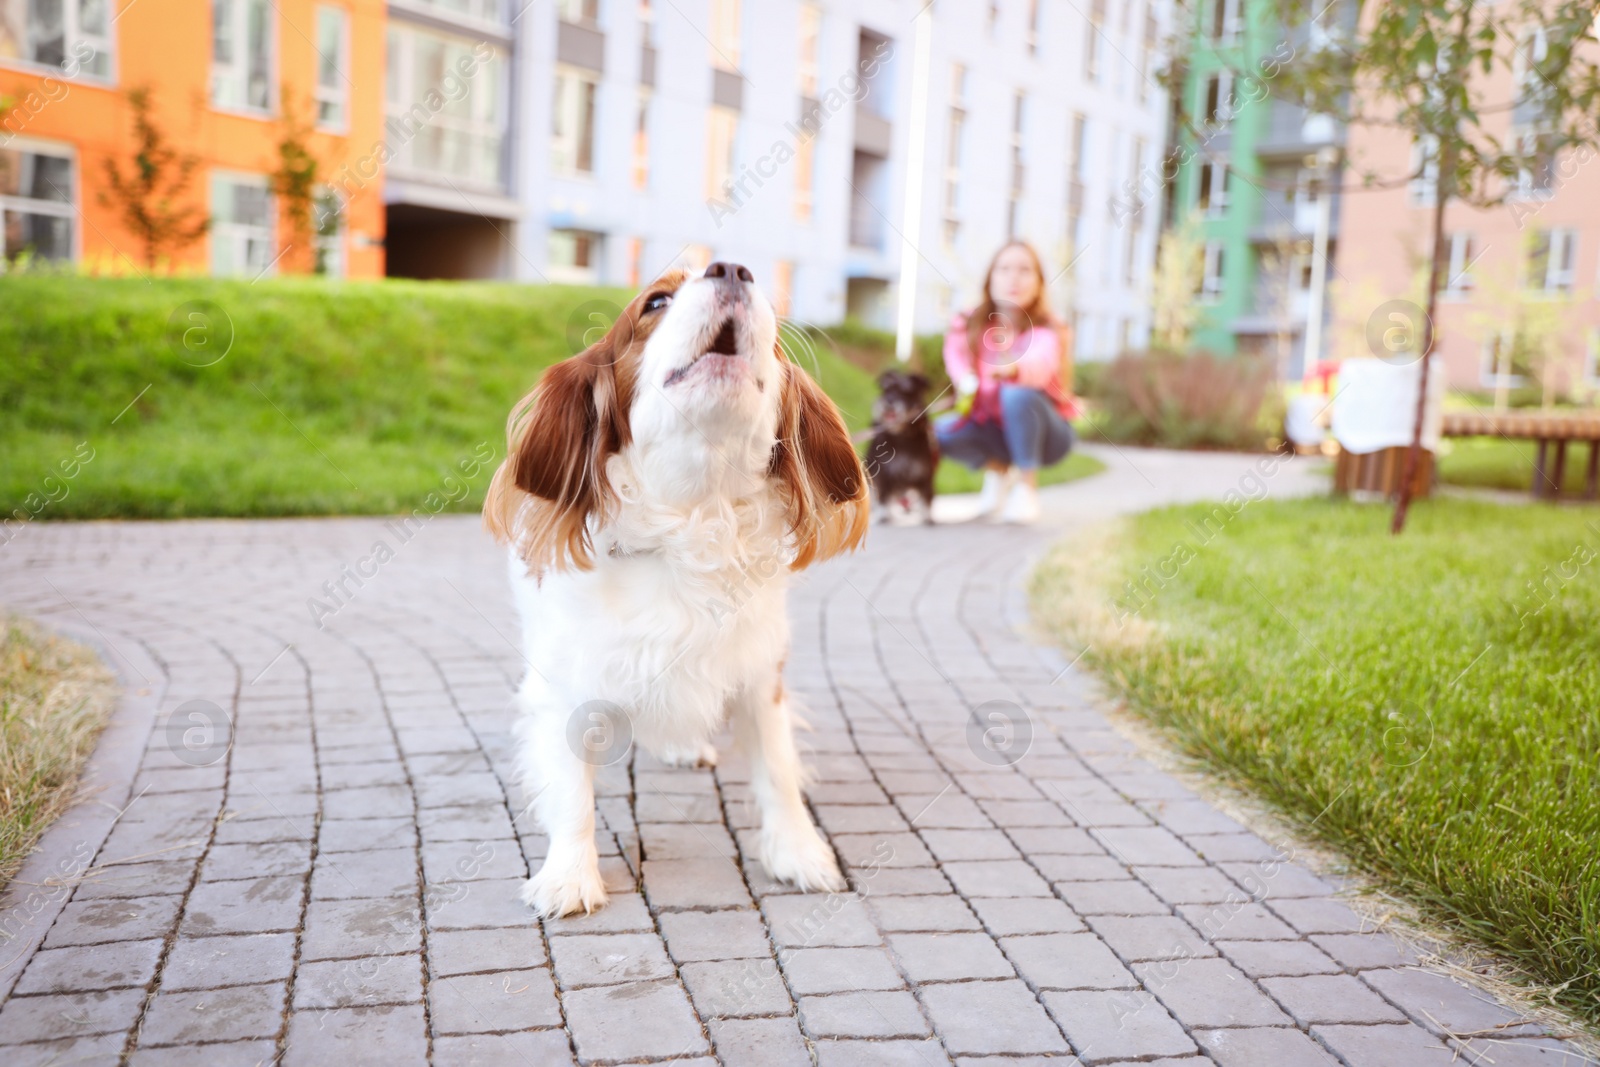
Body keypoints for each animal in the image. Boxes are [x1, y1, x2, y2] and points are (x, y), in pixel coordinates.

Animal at [864, 374, 934, 527]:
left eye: (906, 391)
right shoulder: (884, 474)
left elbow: (926, 497)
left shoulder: (924, 474)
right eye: (887, 389)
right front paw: (883, 516)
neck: (901, 436)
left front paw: (927, 517)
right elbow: (883, 498)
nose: (888, 402)